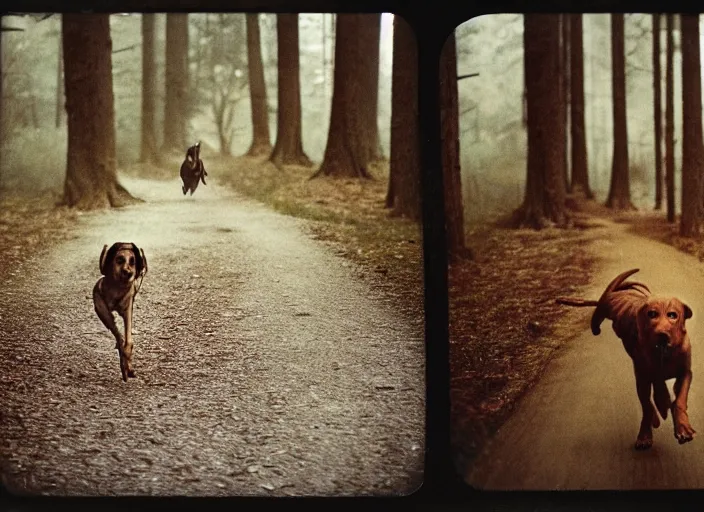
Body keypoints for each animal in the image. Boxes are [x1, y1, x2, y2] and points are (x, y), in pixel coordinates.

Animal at [93, 243, 148, 380]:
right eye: (119, 260)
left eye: (133, 262)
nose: (128, 272)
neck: (117, 288)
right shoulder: (101, 307)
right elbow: (118, 333)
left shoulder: (128, 309)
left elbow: (128, 341)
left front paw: (127, 364)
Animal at [560, 270, 696, 450]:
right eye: (652, 314)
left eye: (673, 315)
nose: (662, 335)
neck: (664, 353)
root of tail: (613, 295)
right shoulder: (644, 372)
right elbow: (653, 393)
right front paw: (660, 407)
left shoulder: (685, 372)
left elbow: (680, 399)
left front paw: (682, 427)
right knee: (647, 402)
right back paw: (650, 425)